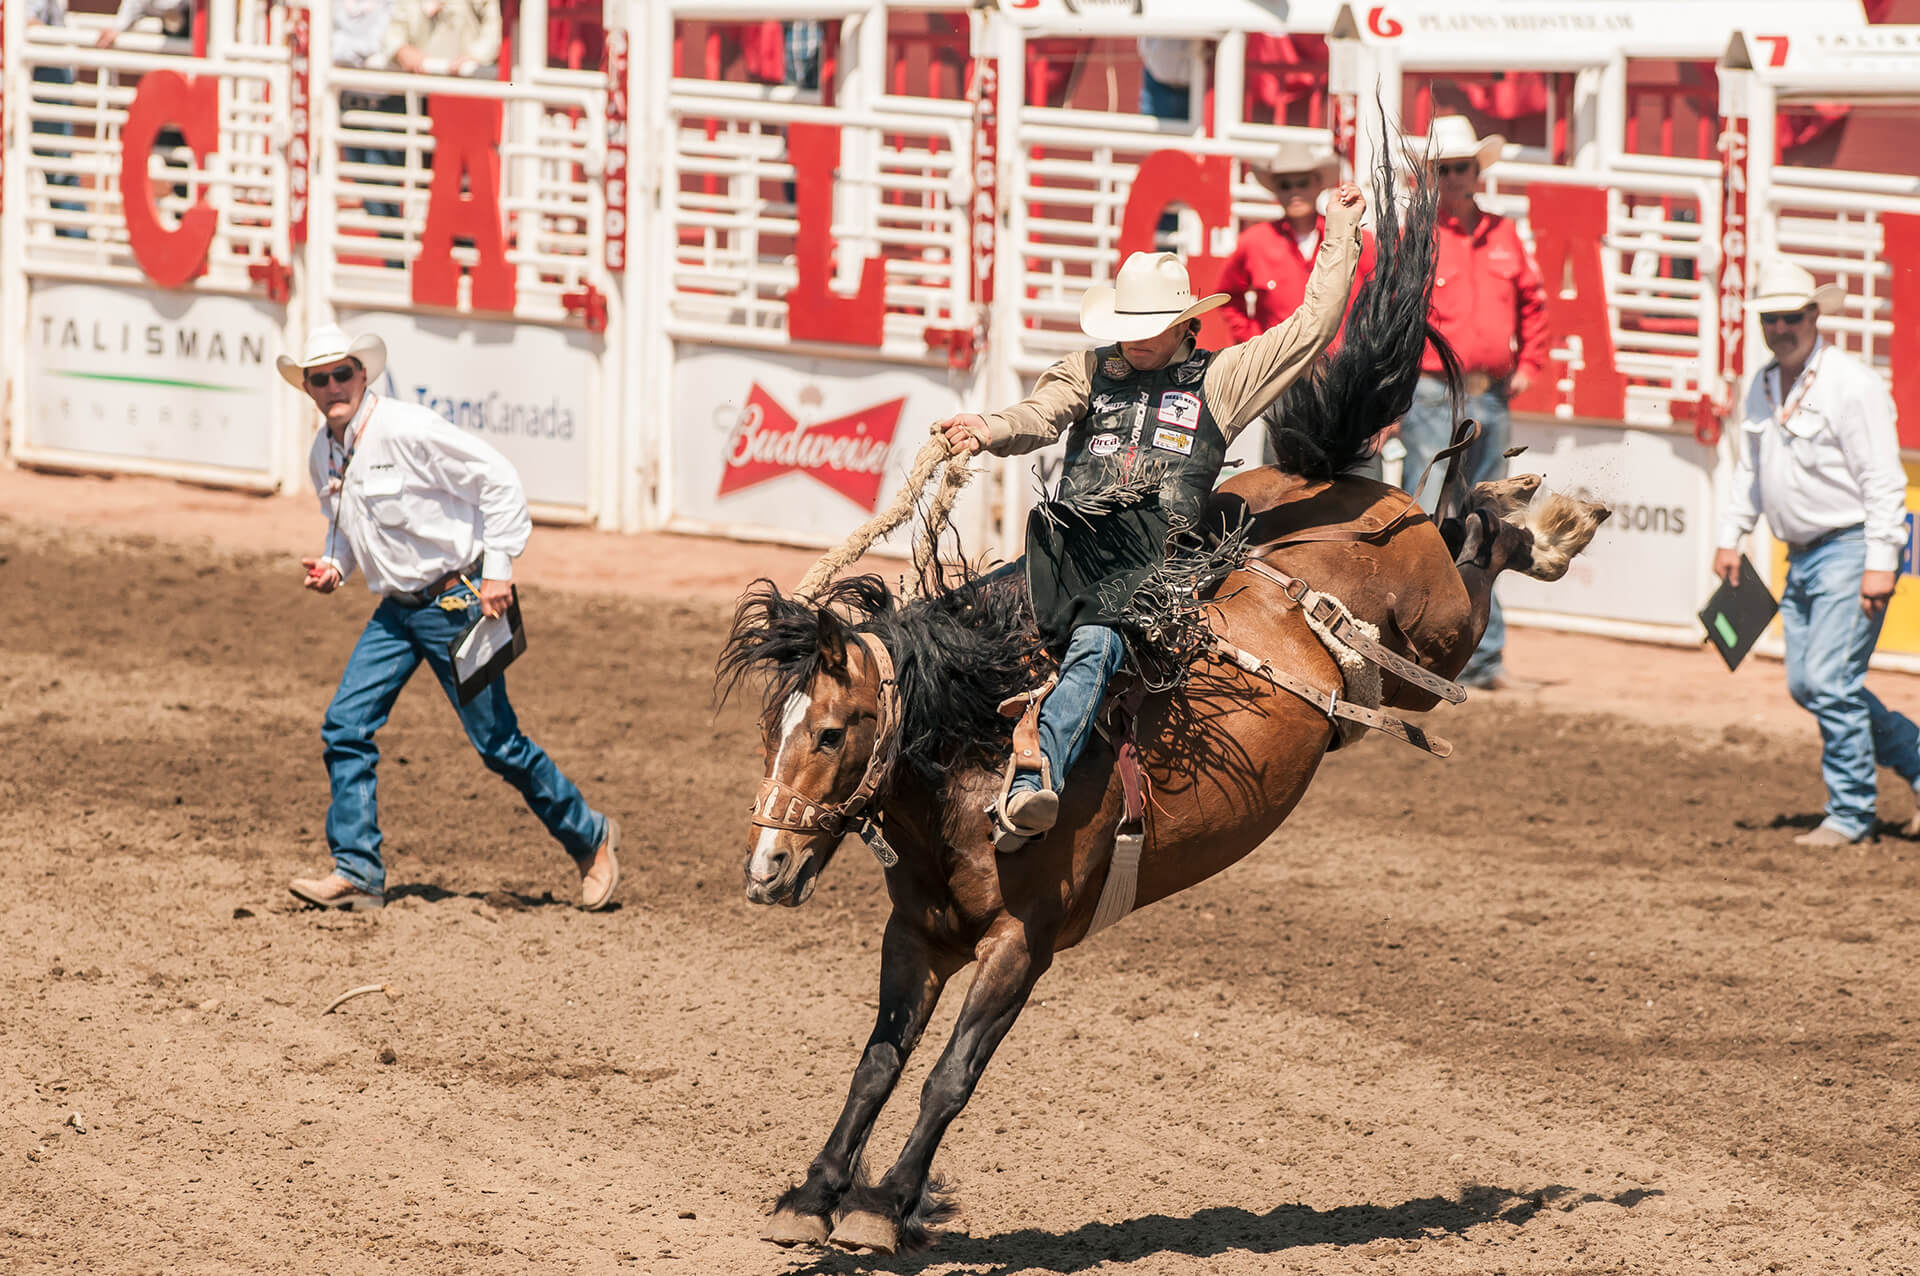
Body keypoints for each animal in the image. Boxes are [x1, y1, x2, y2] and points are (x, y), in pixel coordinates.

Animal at [718, 151, 1605, 1251]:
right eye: (775, 730)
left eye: (836, 732)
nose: (766, 868)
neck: (975, 761)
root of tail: (1333, 492)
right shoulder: (915, 933)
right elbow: (878, 1061)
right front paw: (814, 1194)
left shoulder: (1023, 944)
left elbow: (948, 1079)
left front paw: (886, 1208)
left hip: (1433, 636)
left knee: (1476, 538)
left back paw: (1552, 520)